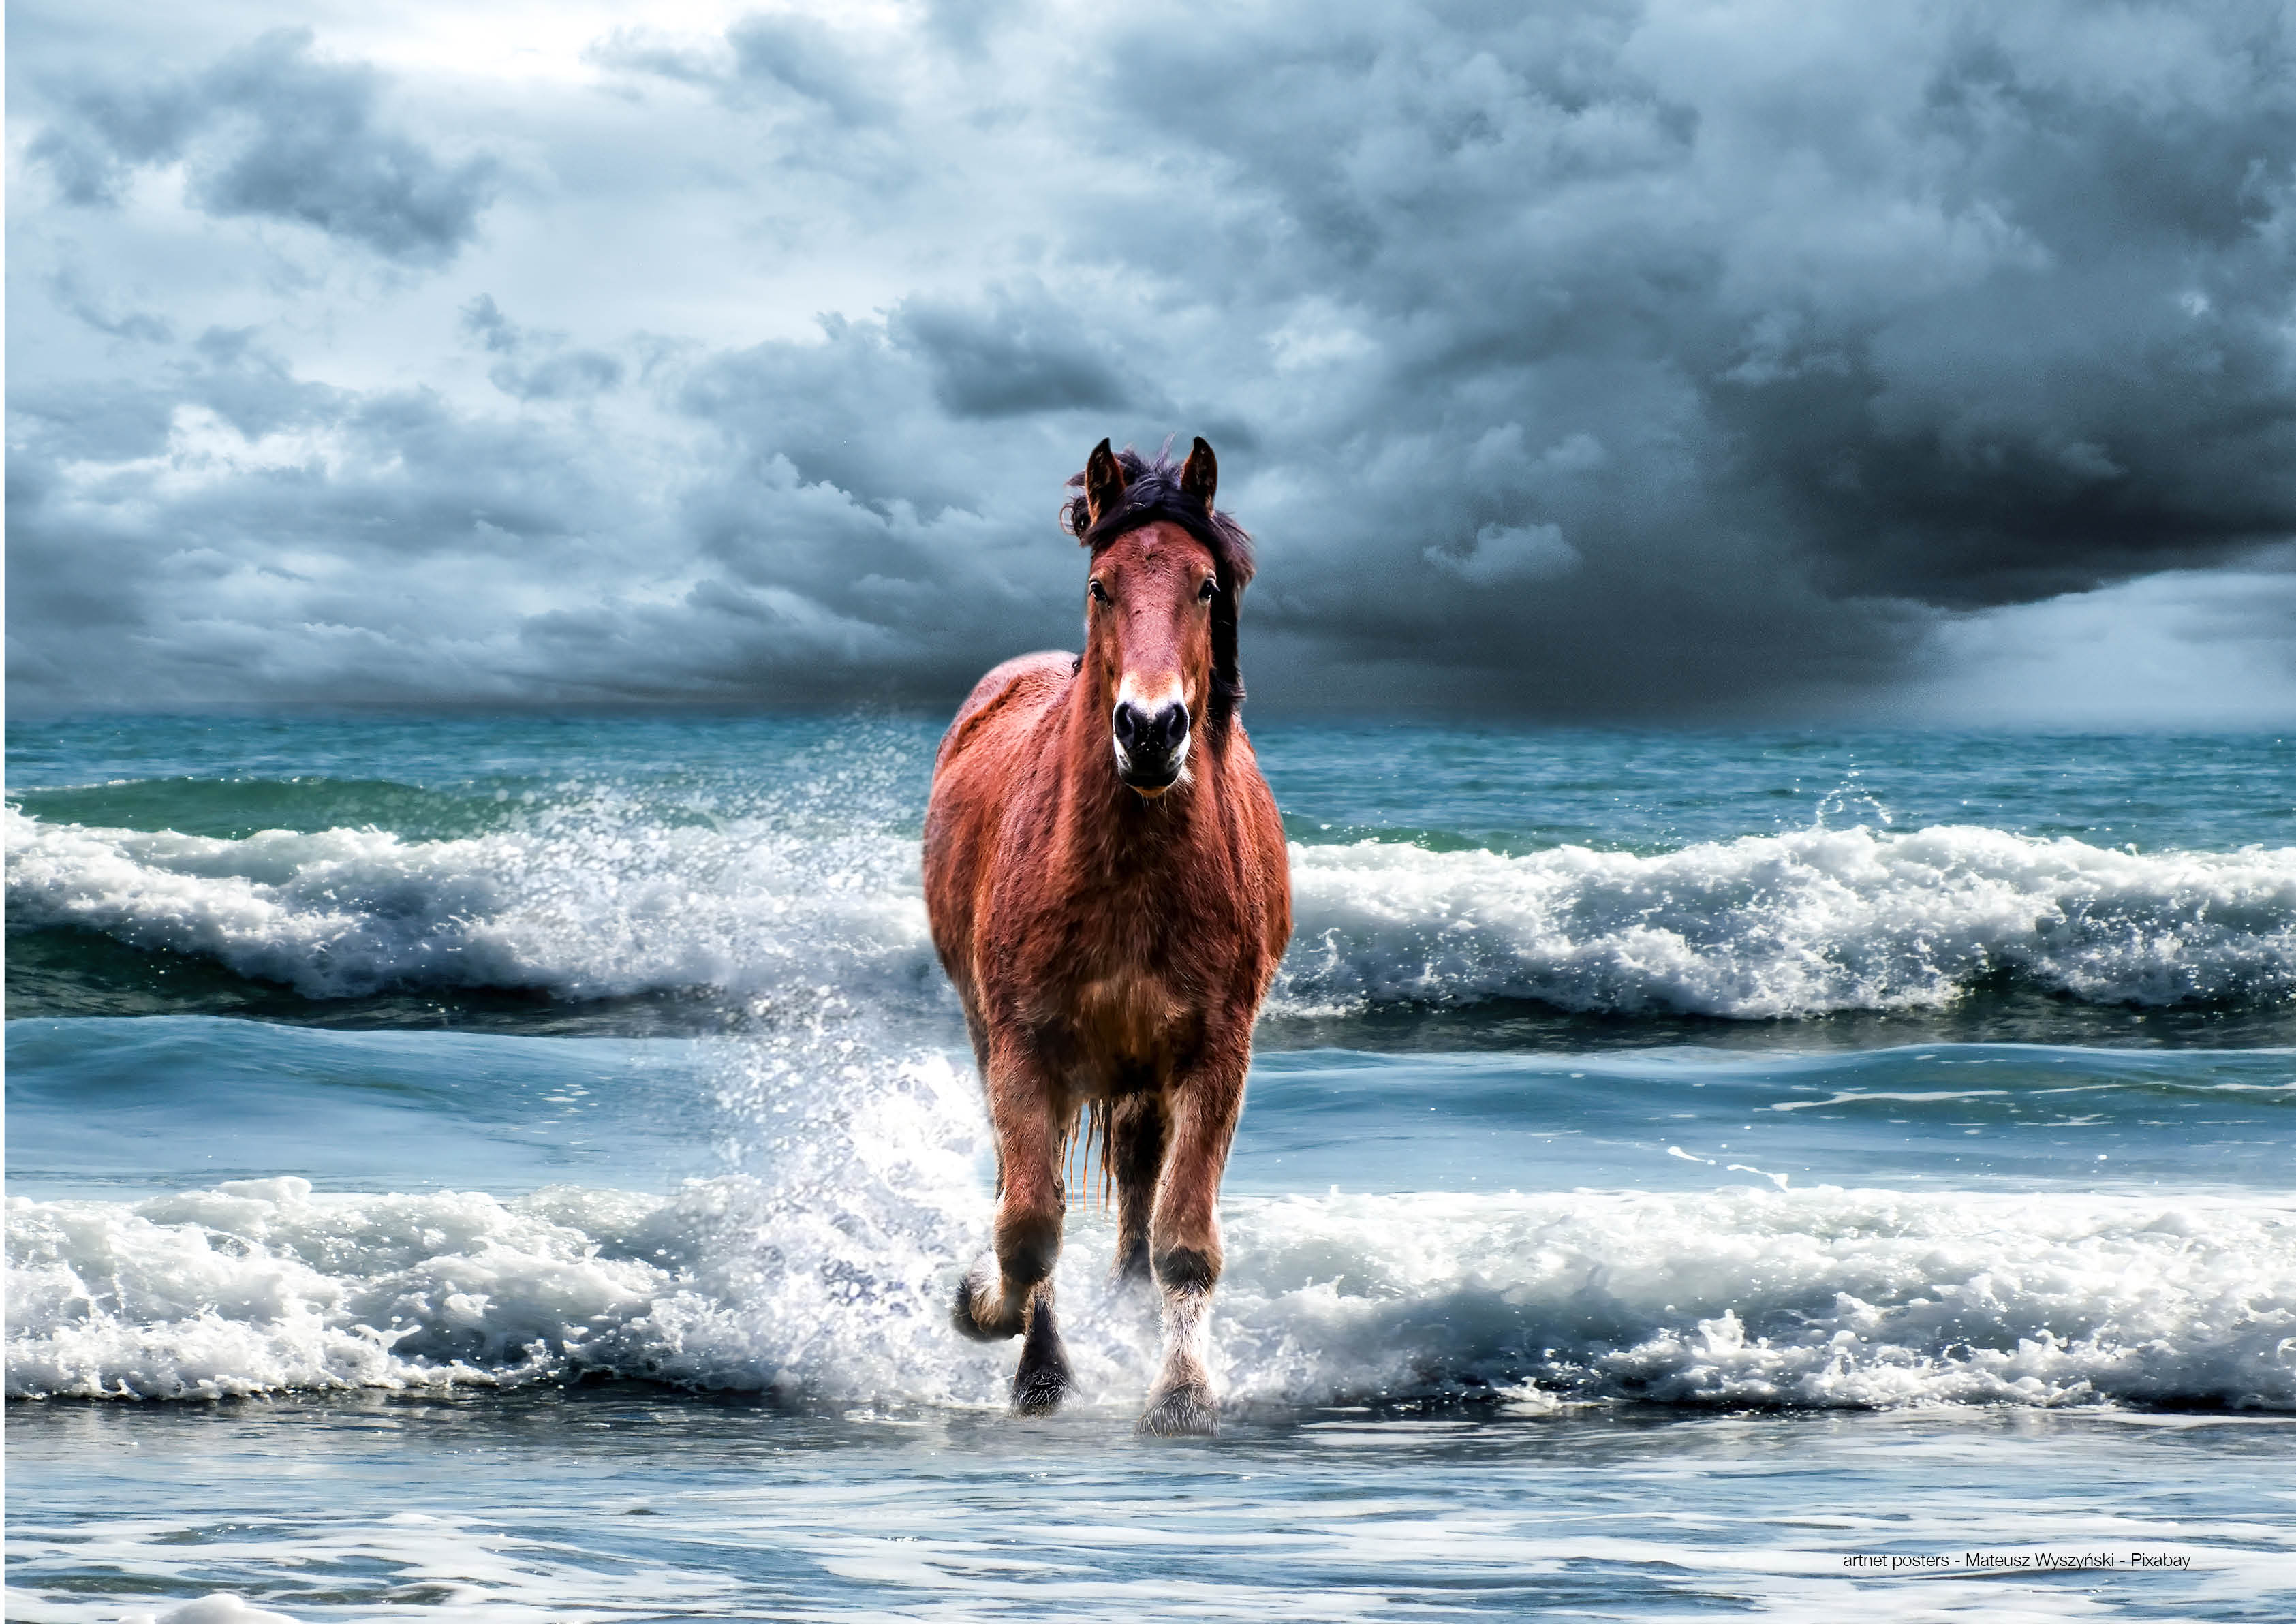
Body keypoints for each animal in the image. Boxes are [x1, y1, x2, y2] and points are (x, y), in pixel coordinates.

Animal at [923, 436, 1292, 1435]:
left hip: (1142, 1075)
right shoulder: (1023, 1047)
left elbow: (1183, 1238)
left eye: (1204, 586)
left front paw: (1182, 1393)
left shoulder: (1215, 1054)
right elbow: (1026, 1225)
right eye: (1101, 585)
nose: (1151, 729)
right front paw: (992, 1322)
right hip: (995, 1036)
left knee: (1136, 1186)